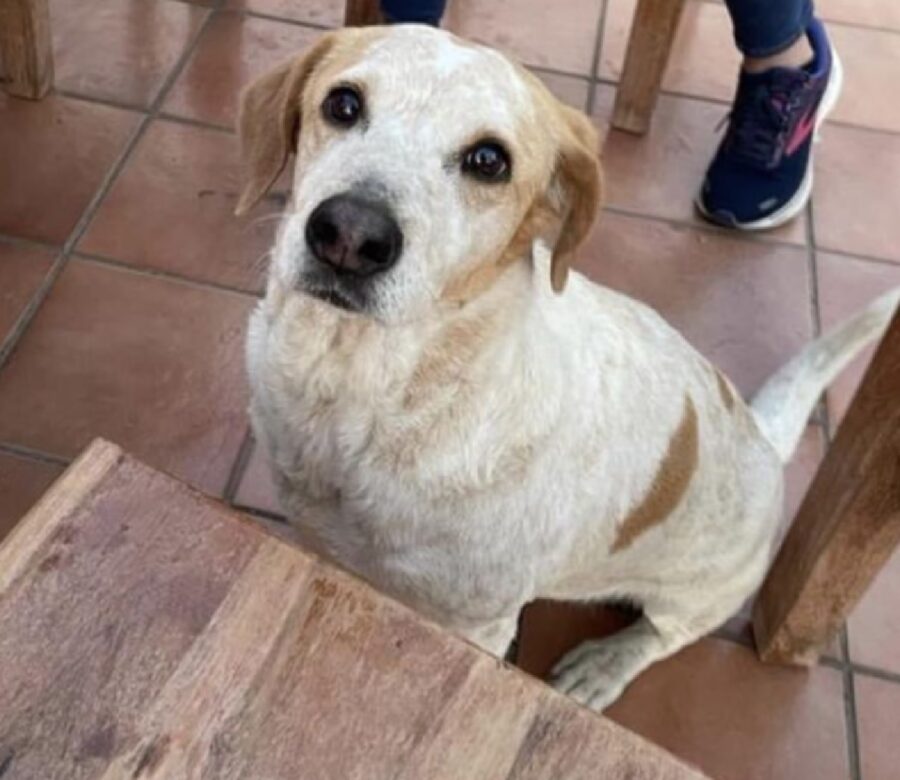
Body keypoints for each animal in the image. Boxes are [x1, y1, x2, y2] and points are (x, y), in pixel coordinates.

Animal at [234, 24, 900, 708]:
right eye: (342, 104)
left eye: (489, 161)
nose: (348, 234)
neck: (359, 387)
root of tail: (764, 437)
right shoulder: (318, 538)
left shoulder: (475, 622)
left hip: (700, 593)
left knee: (663, 635)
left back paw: (604, 665)